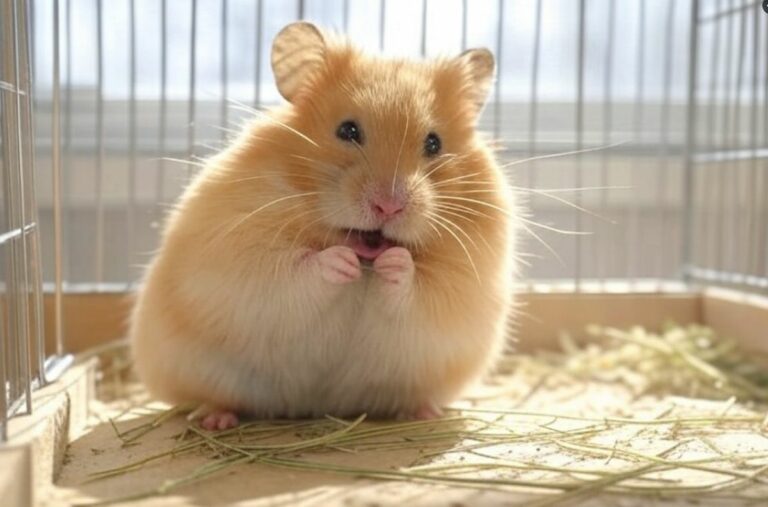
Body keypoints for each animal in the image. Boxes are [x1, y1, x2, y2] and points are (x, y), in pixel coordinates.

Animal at [130, 22, 519, 431]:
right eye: (347, 131)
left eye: (433, 143)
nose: (388, 205)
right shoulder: (241, 256)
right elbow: (298, 269)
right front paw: (341, 261)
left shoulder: (459, 287)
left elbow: (417, 287)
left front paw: (394, 263)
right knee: (211, 398)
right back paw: (216, 419)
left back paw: (424, 413)